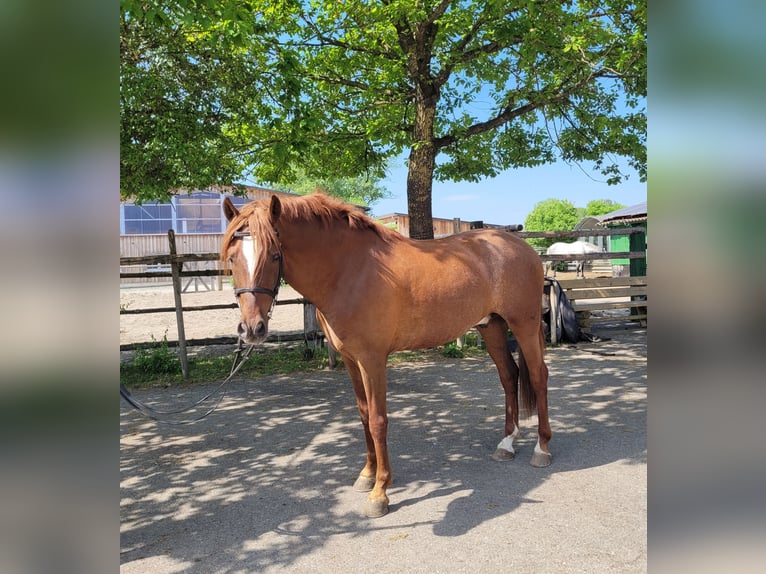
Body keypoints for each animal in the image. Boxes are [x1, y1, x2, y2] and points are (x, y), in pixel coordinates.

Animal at [220, 192, 551, 518]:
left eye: (274, 255)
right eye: (233, 257)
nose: (252, 329)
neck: (349, 270)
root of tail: (523, 248)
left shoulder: (372, 359)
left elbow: (378, 420)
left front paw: (380, 491)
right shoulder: (351, 360)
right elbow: (364, 415)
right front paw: (367, 475)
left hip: (524, 325)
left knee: (538, 376)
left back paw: (542, 449)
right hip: (491, 326)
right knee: (509, 376)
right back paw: (506, 444)